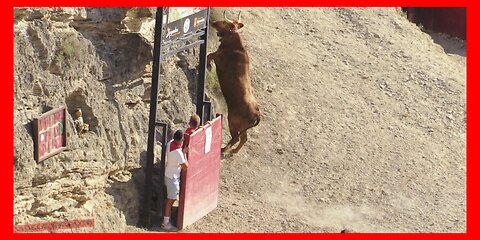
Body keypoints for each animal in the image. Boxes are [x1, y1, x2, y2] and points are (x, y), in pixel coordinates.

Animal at [205, 10, 258, 154]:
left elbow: (209, 55)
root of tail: (257, 114)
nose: (213, 22)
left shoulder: (218, 58)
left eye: (224, 22)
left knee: (235, 138)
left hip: (233, 122)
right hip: (241, 127)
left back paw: (223, 149)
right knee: (244, 138)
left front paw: (208, 67)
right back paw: (233, 151)